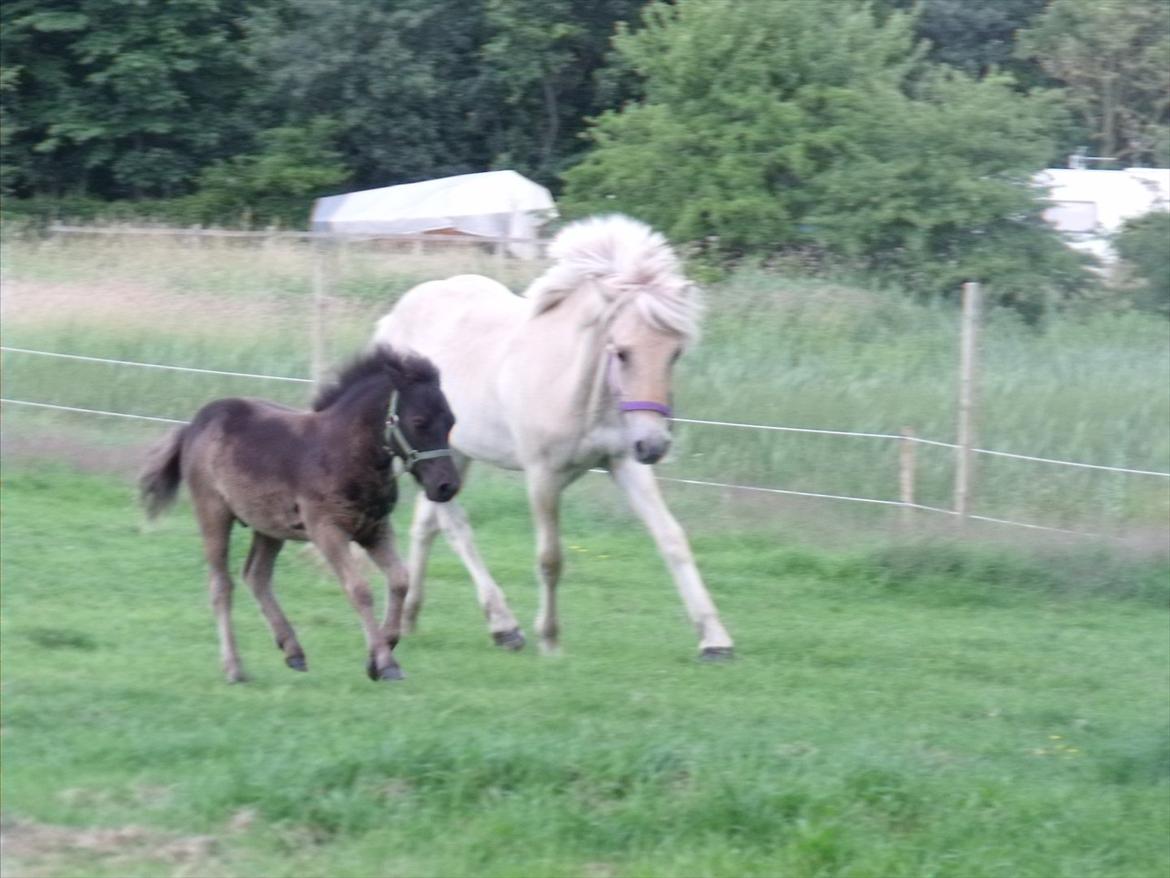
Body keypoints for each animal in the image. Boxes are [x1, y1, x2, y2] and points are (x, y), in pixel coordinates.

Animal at [139, 346, 458, 683]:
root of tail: (193, 425)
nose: (446, 486)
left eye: (451, 421)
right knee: (221, 585)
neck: (344, 451)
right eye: (419, 421)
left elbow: (399, 580)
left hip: (269, 526)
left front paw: (380, 653)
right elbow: (359, 590)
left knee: (256, 575)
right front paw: (385, 663)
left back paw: (292, 650)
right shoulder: (326, 530)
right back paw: (234, 668)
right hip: (213, 512)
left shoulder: (375, 528)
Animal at [374, 215, 734, 660]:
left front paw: (715, 640)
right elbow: (550, 558)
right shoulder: (543, 475)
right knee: (456, 527)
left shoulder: (625, 463)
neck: (574, 385)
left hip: (450, 455)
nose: (654, 445)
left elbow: (672, 540)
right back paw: (504, 626)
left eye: (675, 352)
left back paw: (413, 618)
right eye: (621, 351)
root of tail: (393, 318)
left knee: (428, 526)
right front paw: (549, 639)